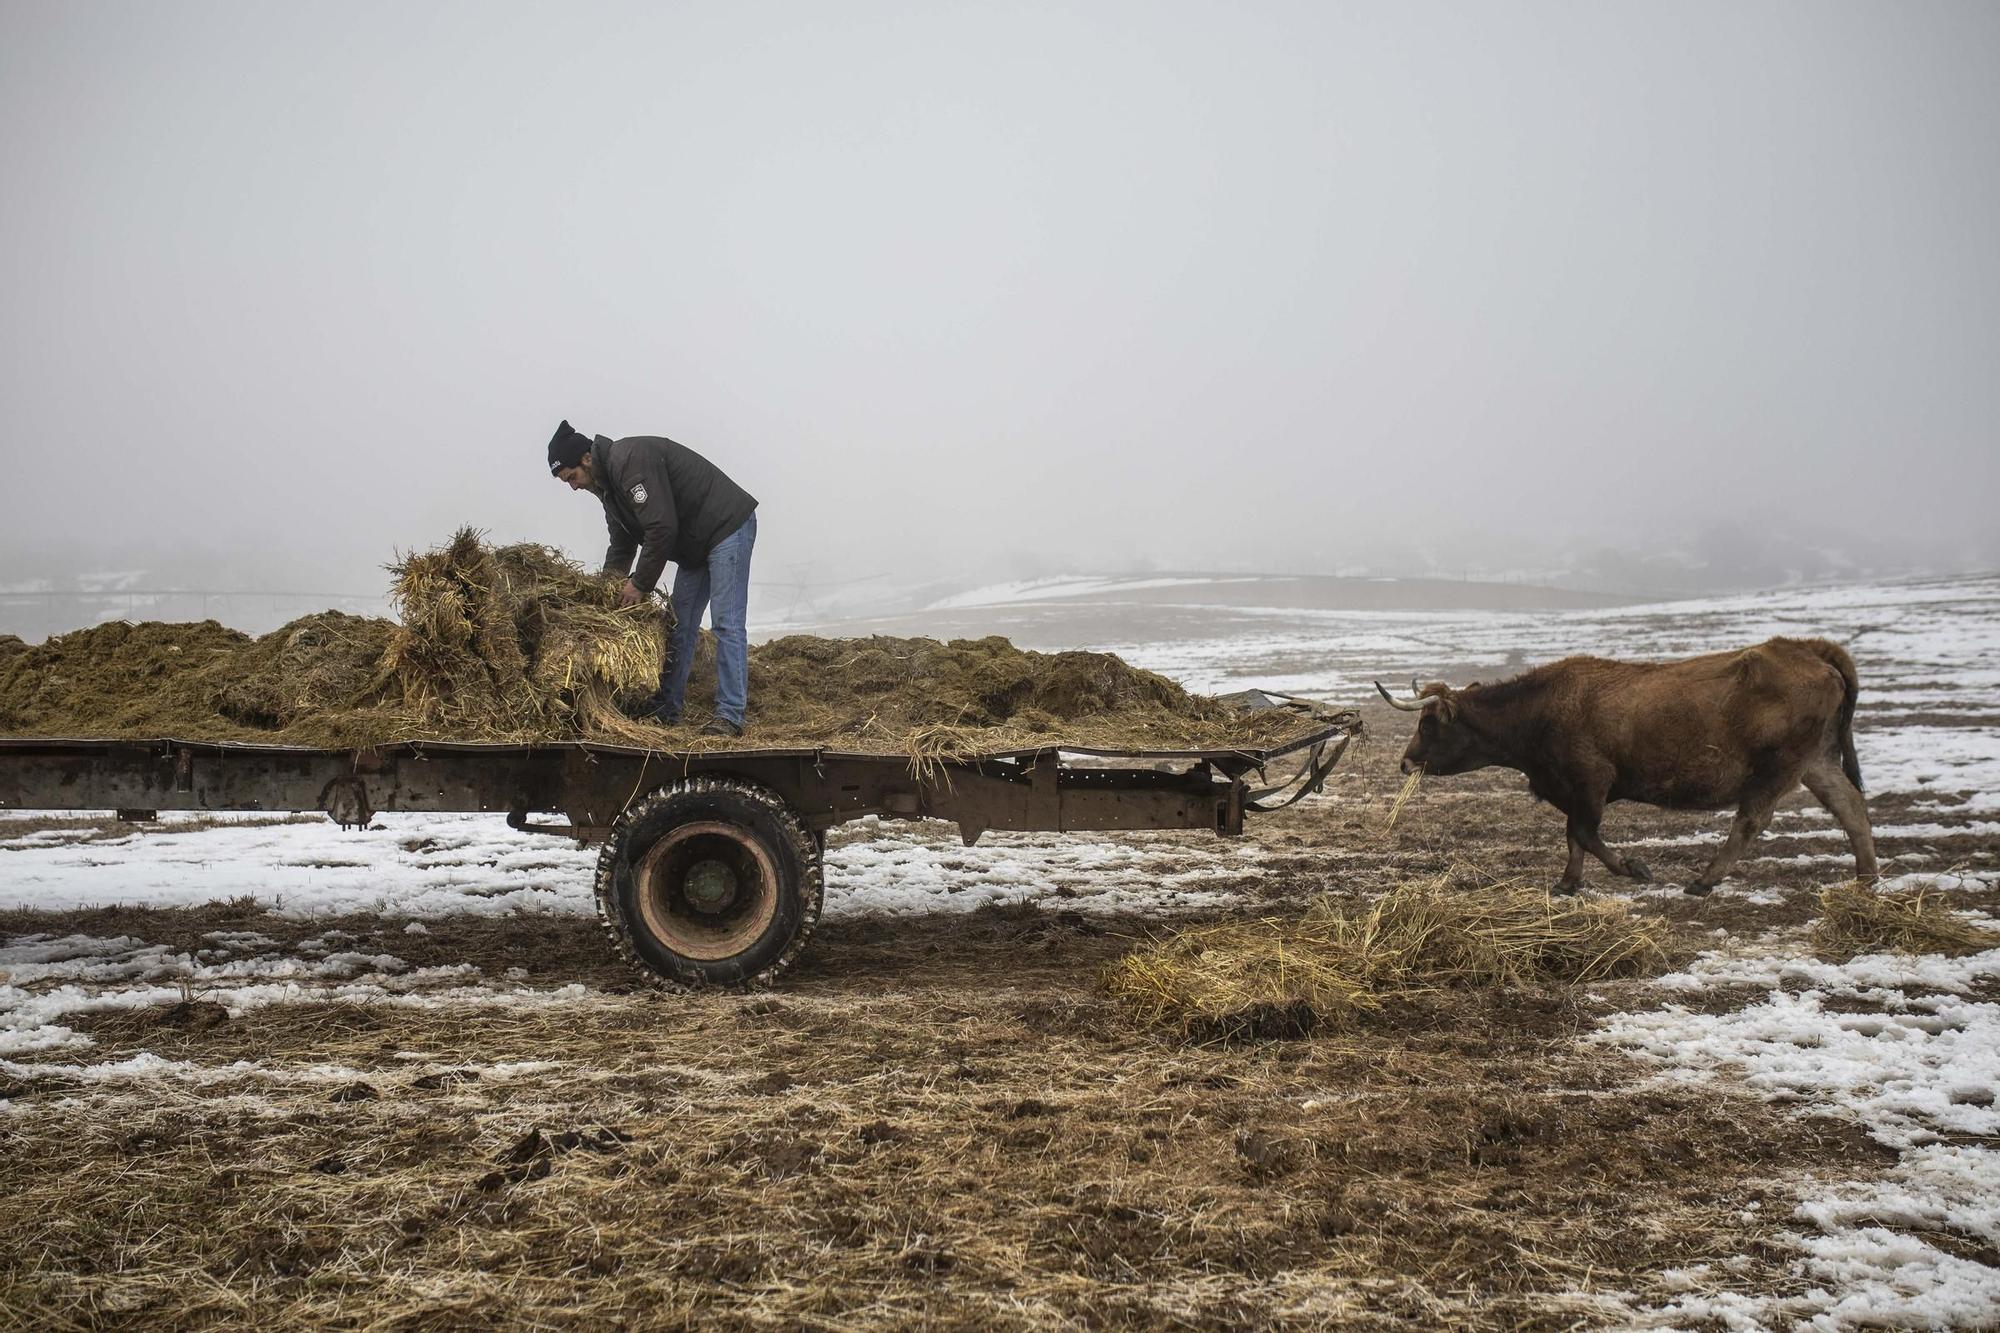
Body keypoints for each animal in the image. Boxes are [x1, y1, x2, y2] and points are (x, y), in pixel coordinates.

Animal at [1376, 636, 1872, 892]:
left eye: (1427, 724)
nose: (1405, 762)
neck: (1541, 709)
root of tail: (1804, 648)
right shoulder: (1571, 789)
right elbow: (1573, 836)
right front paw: (1568, 883)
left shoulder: (1591, 780)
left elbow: (1583, 833)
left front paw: (1633, 868)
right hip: (1817, 761)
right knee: (1850, 807)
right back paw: (1867, 876)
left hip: (1778, 767)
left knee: (1751, 820)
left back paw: (1704, 880)